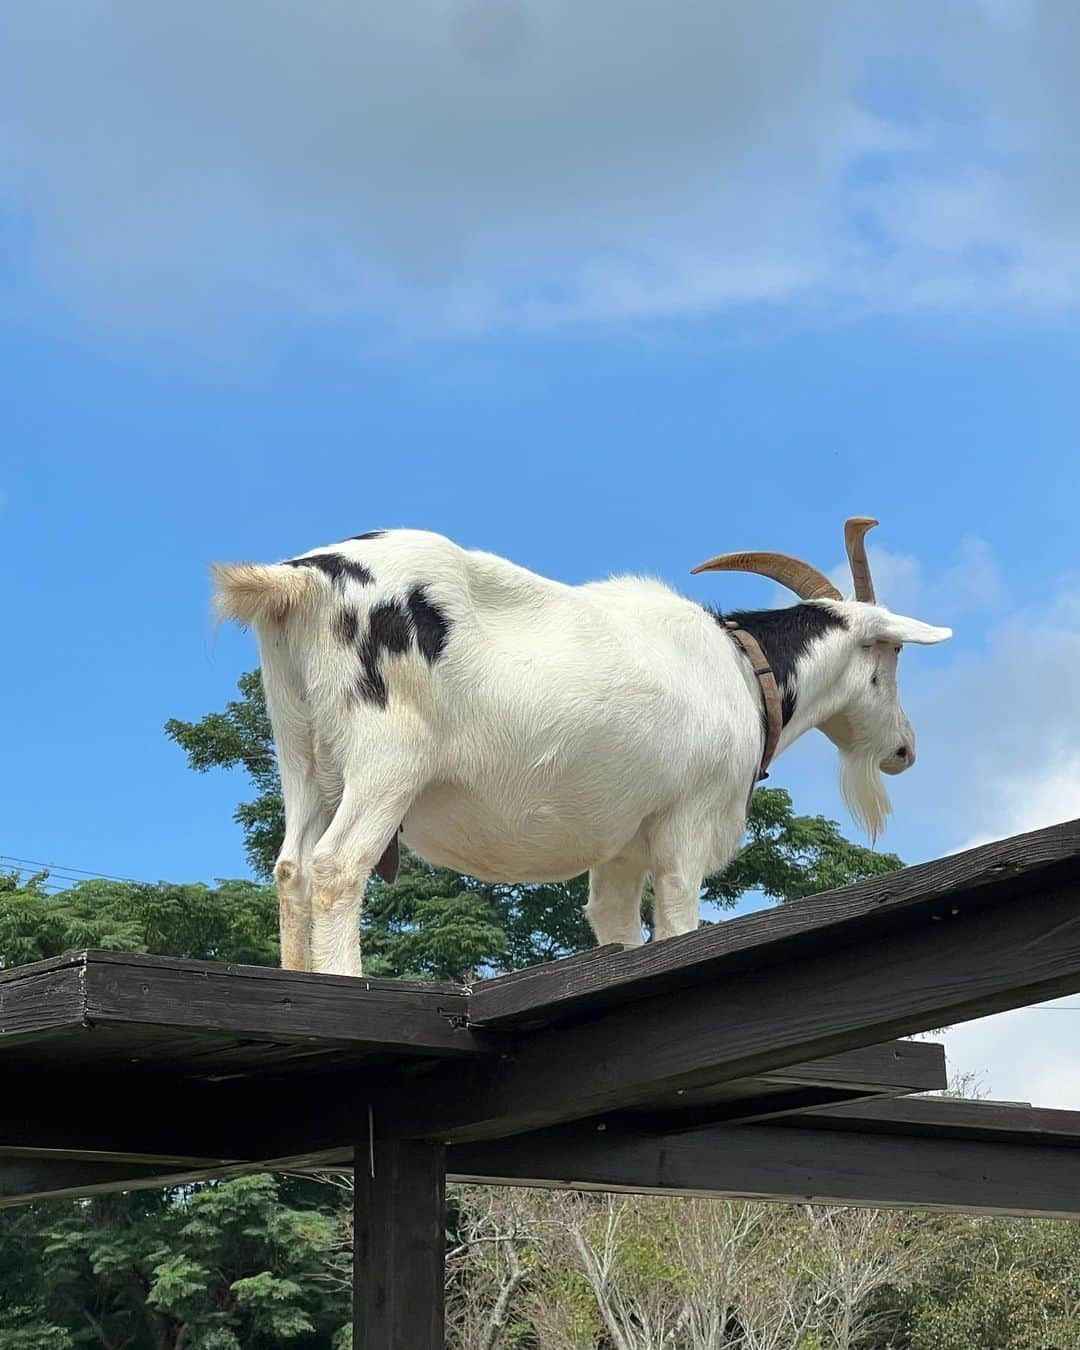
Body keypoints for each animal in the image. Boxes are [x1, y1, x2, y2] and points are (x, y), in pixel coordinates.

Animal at [214, 521, 950, 977]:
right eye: (889, 658)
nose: (904, 751)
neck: (743, 669)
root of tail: (304, 580)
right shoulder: (687, 822)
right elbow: (678, 922)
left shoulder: (620, 847)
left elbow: (615, 928)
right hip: (386, 760)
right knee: (337, 866)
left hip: (304, 753)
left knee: (292, 866)